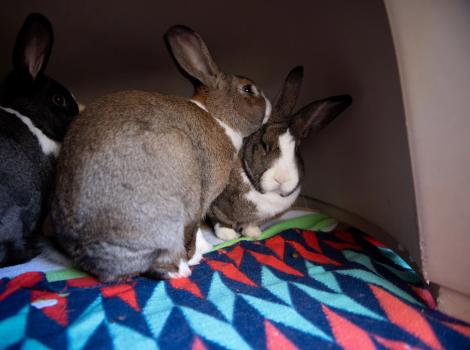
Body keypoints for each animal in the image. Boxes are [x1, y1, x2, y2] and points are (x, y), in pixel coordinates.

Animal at [50, 24, 272, 282]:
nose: (269, 105)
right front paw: (196, 254)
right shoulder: (201, 200)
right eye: (247, 89)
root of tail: (91, 251)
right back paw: (184, 267)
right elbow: (192, 230)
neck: (218, 117)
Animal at [207, 65, 350, 241]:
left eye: (297, 150)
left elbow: (251, 224)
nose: (282, 178)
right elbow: (220, 219)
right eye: (264, 145)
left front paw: (253, 233)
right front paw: (228, 235)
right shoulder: (216, 204)